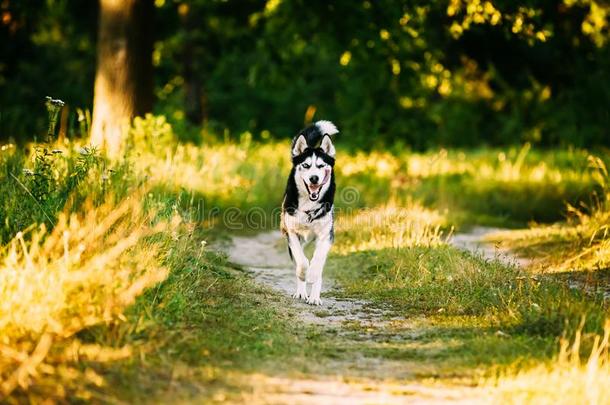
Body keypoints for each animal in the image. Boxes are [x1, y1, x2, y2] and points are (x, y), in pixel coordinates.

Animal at [280, 120, 338, 304]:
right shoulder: (291, 232)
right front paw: (304, 274)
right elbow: (302, 260)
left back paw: (314, 297)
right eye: (306, 165)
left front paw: (312, 275)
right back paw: (301, 291)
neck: (308, 207)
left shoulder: (326, 236)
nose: (314, 178)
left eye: (321, 166)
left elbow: (317, 261)